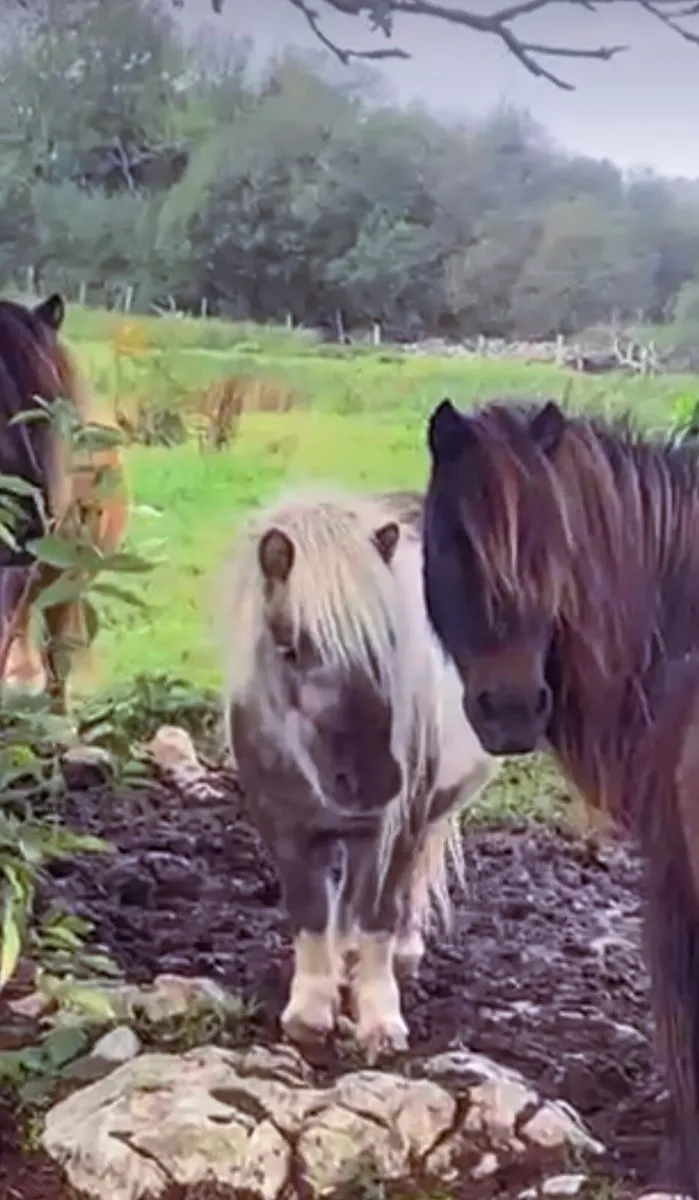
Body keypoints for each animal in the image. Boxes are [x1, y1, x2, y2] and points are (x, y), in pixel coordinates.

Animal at [220, 484, 496, 1062]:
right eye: (289, 649)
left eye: (386, 644)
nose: (373, 781)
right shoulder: (283, 828)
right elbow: (311, 912)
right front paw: (310, 1010)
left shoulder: (394, 825)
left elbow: (378, 915)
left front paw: (379, 1020)